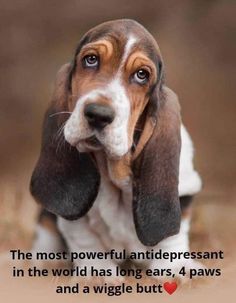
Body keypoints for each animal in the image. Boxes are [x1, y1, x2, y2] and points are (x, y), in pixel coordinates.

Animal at [30, 18, 202, 280]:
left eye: (142, 75)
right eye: (91, 59)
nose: (98, 115)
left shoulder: (185, 191)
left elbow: (174, 234)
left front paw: (173, 270)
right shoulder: (73, 220)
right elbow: (83, 237)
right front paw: (96, 274)